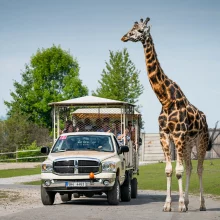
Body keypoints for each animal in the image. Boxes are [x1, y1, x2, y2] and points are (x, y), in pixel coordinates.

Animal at [121, 18, 216, 212]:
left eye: (140, 30)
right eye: (131, 28)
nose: (124, 37)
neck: (165, 99)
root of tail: (204, 118)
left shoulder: (178, 134)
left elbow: (178, 171)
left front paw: (179, 205)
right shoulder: (164, 135)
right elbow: (169, 170)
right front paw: (168, 205)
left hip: (200, 141)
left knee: (199, 168)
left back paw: (201, 204)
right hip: (187, 143)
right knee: (189, 167)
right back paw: (187, 201)